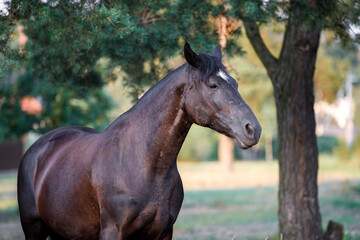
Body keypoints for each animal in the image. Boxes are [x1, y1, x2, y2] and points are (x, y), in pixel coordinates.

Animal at [17, 43, 262, 240]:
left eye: (235, 84)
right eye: (212, 85)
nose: (253, 130)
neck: (144, 164)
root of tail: (36, 150)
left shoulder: (163, 233)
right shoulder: (113, 232)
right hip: (34, 229)